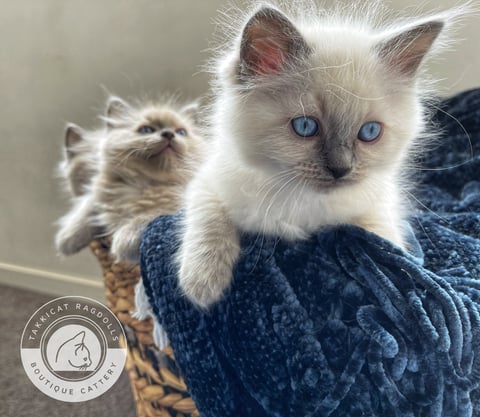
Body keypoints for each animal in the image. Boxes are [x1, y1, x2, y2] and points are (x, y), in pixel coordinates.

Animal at [55, 96, 203, 262]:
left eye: (181, 132)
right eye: (146, 130)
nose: (169, 133)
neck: (145, 184)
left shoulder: (176, 206)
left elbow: (150, 215)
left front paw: (124, 241)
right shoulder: (99, 196)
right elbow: (87, 209)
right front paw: (67, 237)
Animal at [177, 0, 464, 308]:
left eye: (370, 132)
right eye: (305, 127)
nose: (341, 169)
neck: (305, 203)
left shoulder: (377, 202)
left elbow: (384, 242)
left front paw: (399, 281)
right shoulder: (207, 183)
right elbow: (209, 223)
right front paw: (202, 286)